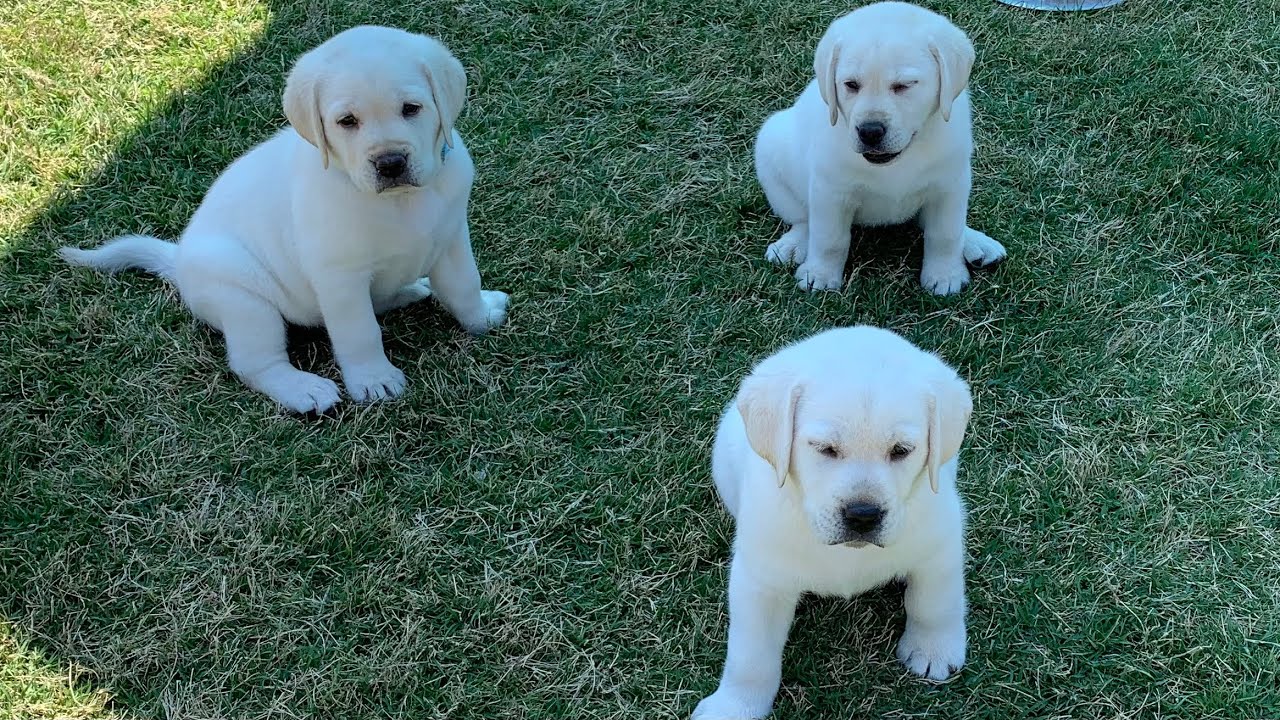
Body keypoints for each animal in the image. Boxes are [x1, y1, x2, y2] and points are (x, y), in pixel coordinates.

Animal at [61, 26, 509, 409]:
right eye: (347, 121)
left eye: (412, 108)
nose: (390, 163)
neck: (400, 202)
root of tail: (180, 260)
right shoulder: (339, 277)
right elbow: (359, 332)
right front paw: (374, 379)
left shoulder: (451, 239)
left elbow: (464, 285)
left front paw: (482, 316)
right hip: (244, 301)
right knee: (254, 362)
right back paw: (302, 389)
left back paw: (408, 290)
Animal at [696, 325, 972, 717]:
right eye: (824, 449)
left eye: (901, 451)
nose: (863, 515)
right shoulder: (761, 580)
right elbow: (751, 655)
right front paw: (735, 705)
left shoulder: (940, 542)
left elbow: (936, 601)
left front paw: (933, 649)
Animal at [752, 2, 1003, 294]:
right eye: (851, 85)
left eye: (905, 85)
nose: (870, 131)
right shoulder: (830, 190)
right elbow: (829, 238)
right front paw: (821, 275)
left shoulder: (950, 185)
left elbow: (946, 233)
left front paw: (945, 274)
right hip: (771, 153)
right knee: (804, 219)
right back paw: (793, 245)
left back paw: (976, 242)